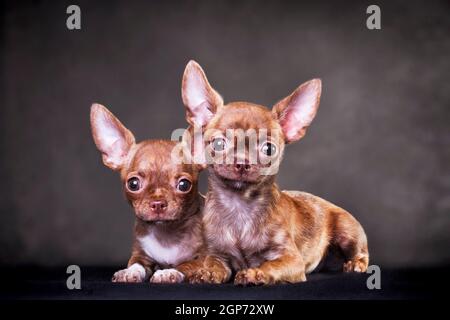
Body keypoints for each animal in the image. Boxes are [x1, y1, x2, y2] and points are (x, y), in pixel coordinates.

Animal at [90, 104, 203, 284]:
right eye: (133, 184)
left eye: (184, 185)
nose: (158, 203)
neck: (165, 233)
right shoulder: (140, 255)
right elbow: (136, 264)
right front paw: (128, 272)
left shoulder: (204, 258)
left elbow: (186, 264)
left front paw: (168, 272)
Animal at [179, 62, 370, 284]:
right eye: (218, 144)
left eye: (268, 149)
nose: (242, 162)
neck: (240, 206)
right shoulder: (217, 255)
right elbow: (214, 265)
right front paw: (206, 273)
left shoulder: (291, 259)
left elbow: (271, 264)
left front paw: (255, 273)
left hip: (348, 232)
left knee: (361, 252)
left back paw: (356, 264)